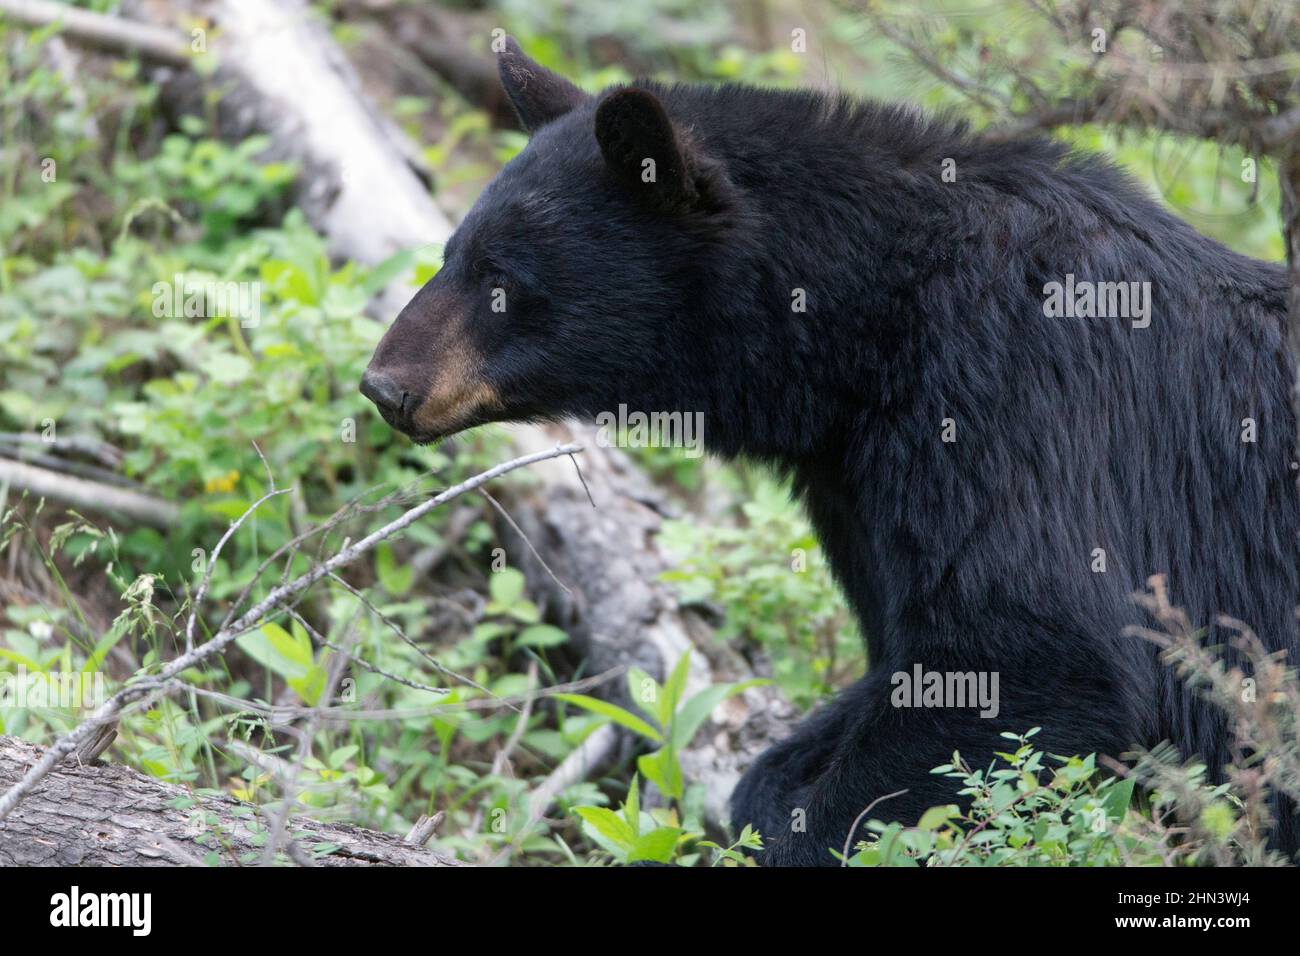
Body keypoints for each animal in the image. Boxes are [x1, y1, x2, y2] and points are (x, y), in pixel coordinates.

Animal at [361, 37, 1300, 863]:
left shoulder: (1011, 397)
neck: (870, 325)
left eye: (503, 281)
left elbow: (1032, 650)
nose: (383, 384)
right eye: (451, 252)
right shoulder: (859, 477)